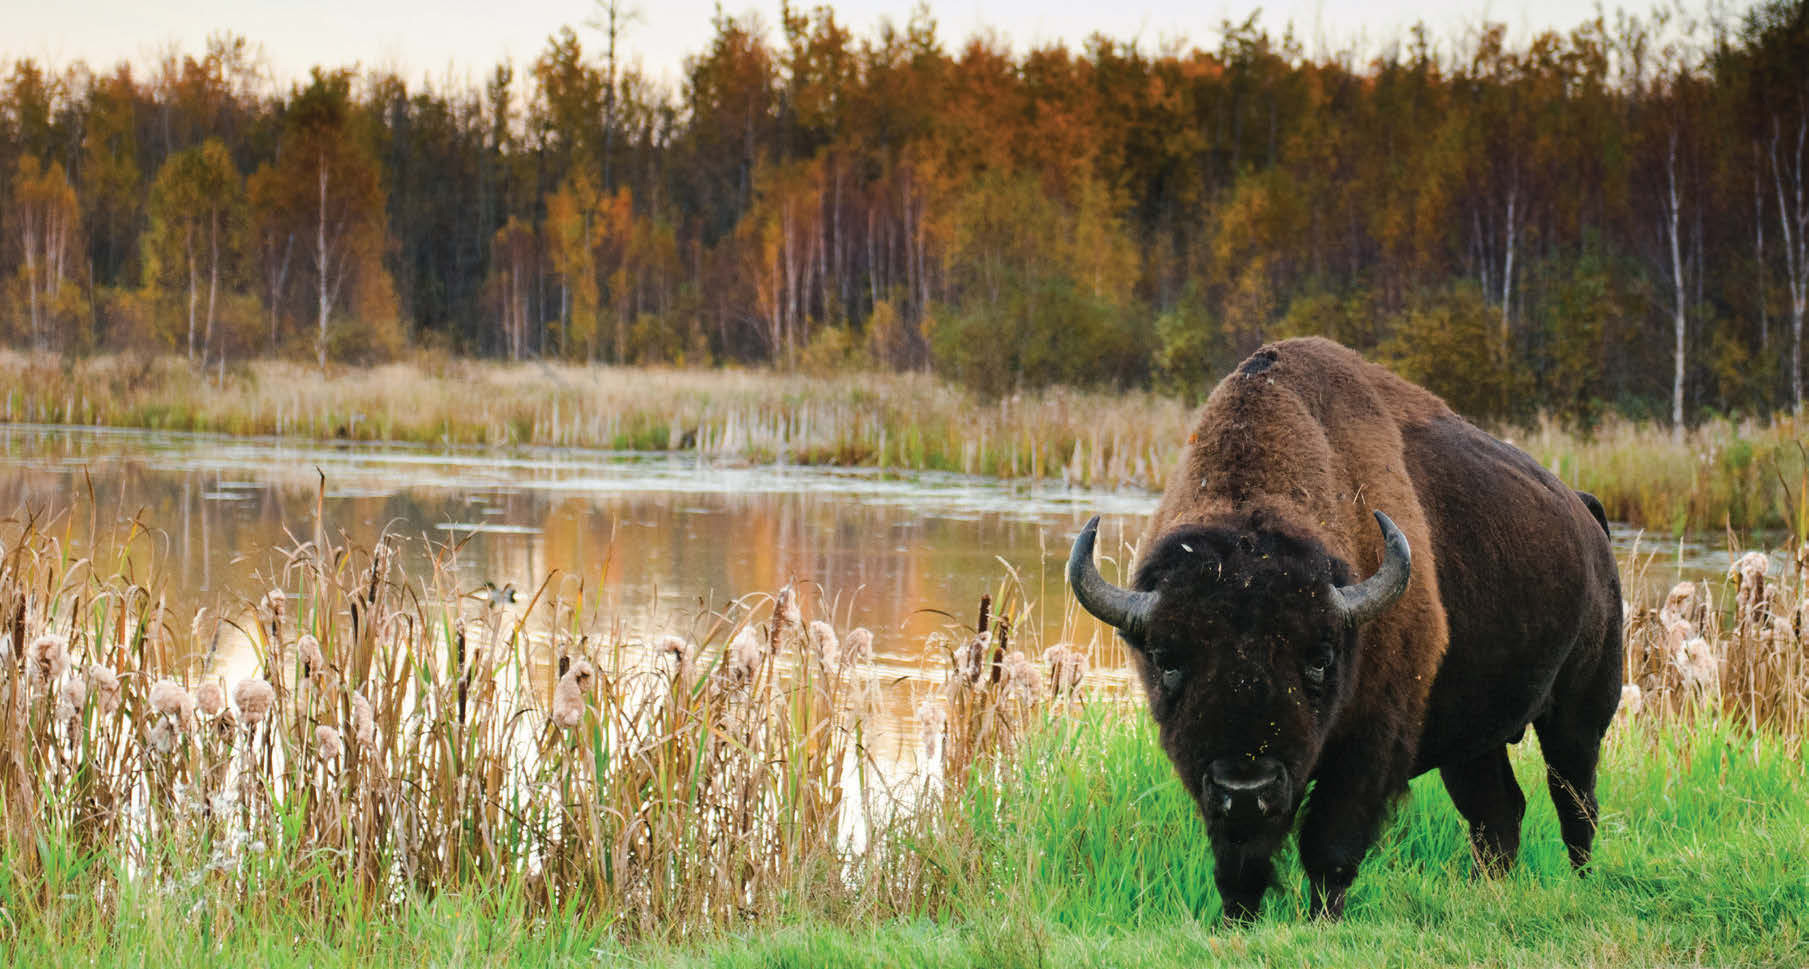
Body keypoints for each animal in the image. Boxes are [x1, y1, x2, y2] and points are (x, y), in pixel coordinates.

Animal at [1063, 338, 1620, 921]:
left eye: (1319, 657)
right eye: (1167, 660)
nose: (1246, 786)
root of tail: (1585, 512)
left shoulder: (1367, 747)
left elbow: (1329, 845)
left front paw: (1322, 919)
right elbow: (1239, 862)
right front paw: (1238, 919)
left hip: (1580, 712)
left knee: (1575, 800)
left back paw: (1579, 883)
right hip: (1475, 739)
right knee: (1498, 810)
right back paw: (1488, 890)